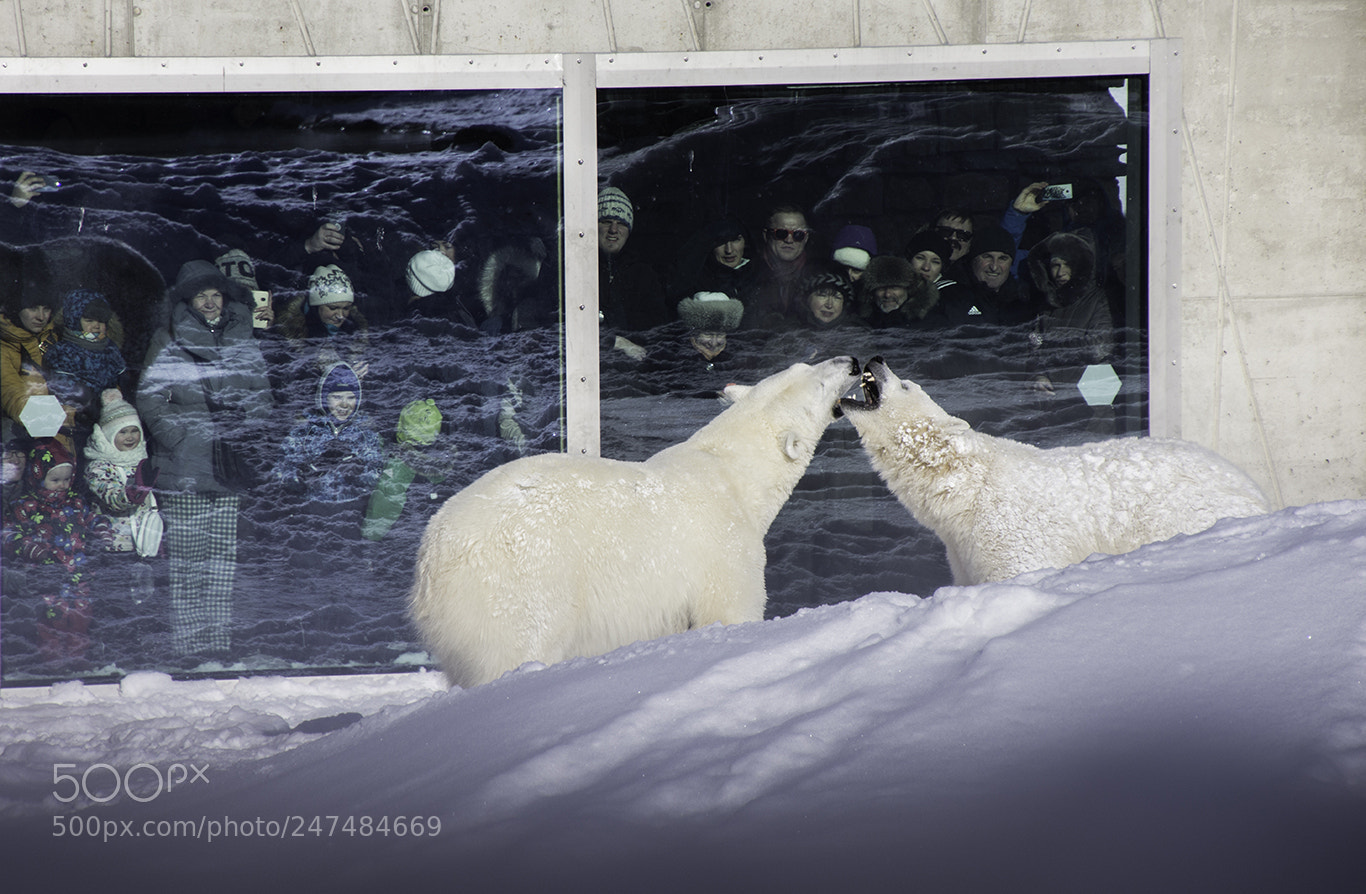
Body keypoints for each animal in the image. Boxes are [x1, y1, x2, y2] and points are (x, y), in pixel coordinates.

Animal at [409, 355, 863, 687]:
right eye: (819, 384)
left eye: (807, 364)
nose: (851, 361)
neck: (731, 471)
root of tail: (434, 555)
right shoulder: (725, 551)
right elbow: (730, 611)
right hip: (520, 585)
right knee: (518, 647)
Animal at [840, 357, 1271, 586]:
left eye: (907, 386)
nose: (876, 360)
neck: (964, 487)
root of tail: (1252, 488)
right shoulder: (961, 551)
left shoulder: (1008, 533)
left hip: (1181, 512)